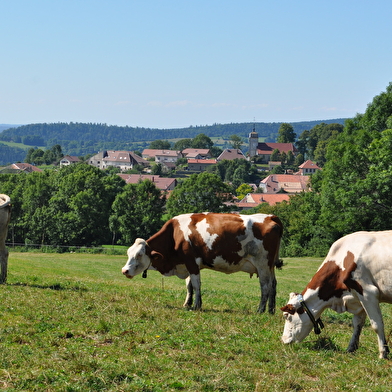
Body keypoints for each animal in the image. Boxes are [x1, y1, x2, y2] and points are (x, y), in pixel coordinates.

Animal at [121, 213, 284, 314]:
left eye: (139, 255)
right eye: (128, 253)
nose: (124, 271)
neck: (175, 235)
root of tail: (270, 217)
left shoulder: (192, 262)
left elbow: (196, 285)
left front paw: (196, 305)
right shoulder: (186, 264)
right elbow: (189, 286)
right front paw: (187, 303)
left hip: (262, 264)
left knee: (265, 286)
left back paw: (260, 310)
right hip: (270, 266)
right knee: (273, 285)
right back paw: (271, 310)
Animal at [282, 231, 392, 360]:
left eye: (286, 315)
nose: (283, 340)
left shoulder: (368, 292)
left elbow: (377, 325)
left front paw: (383, 353)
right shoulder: (357, 298)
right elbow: (357, 324)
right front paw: (351, 348)